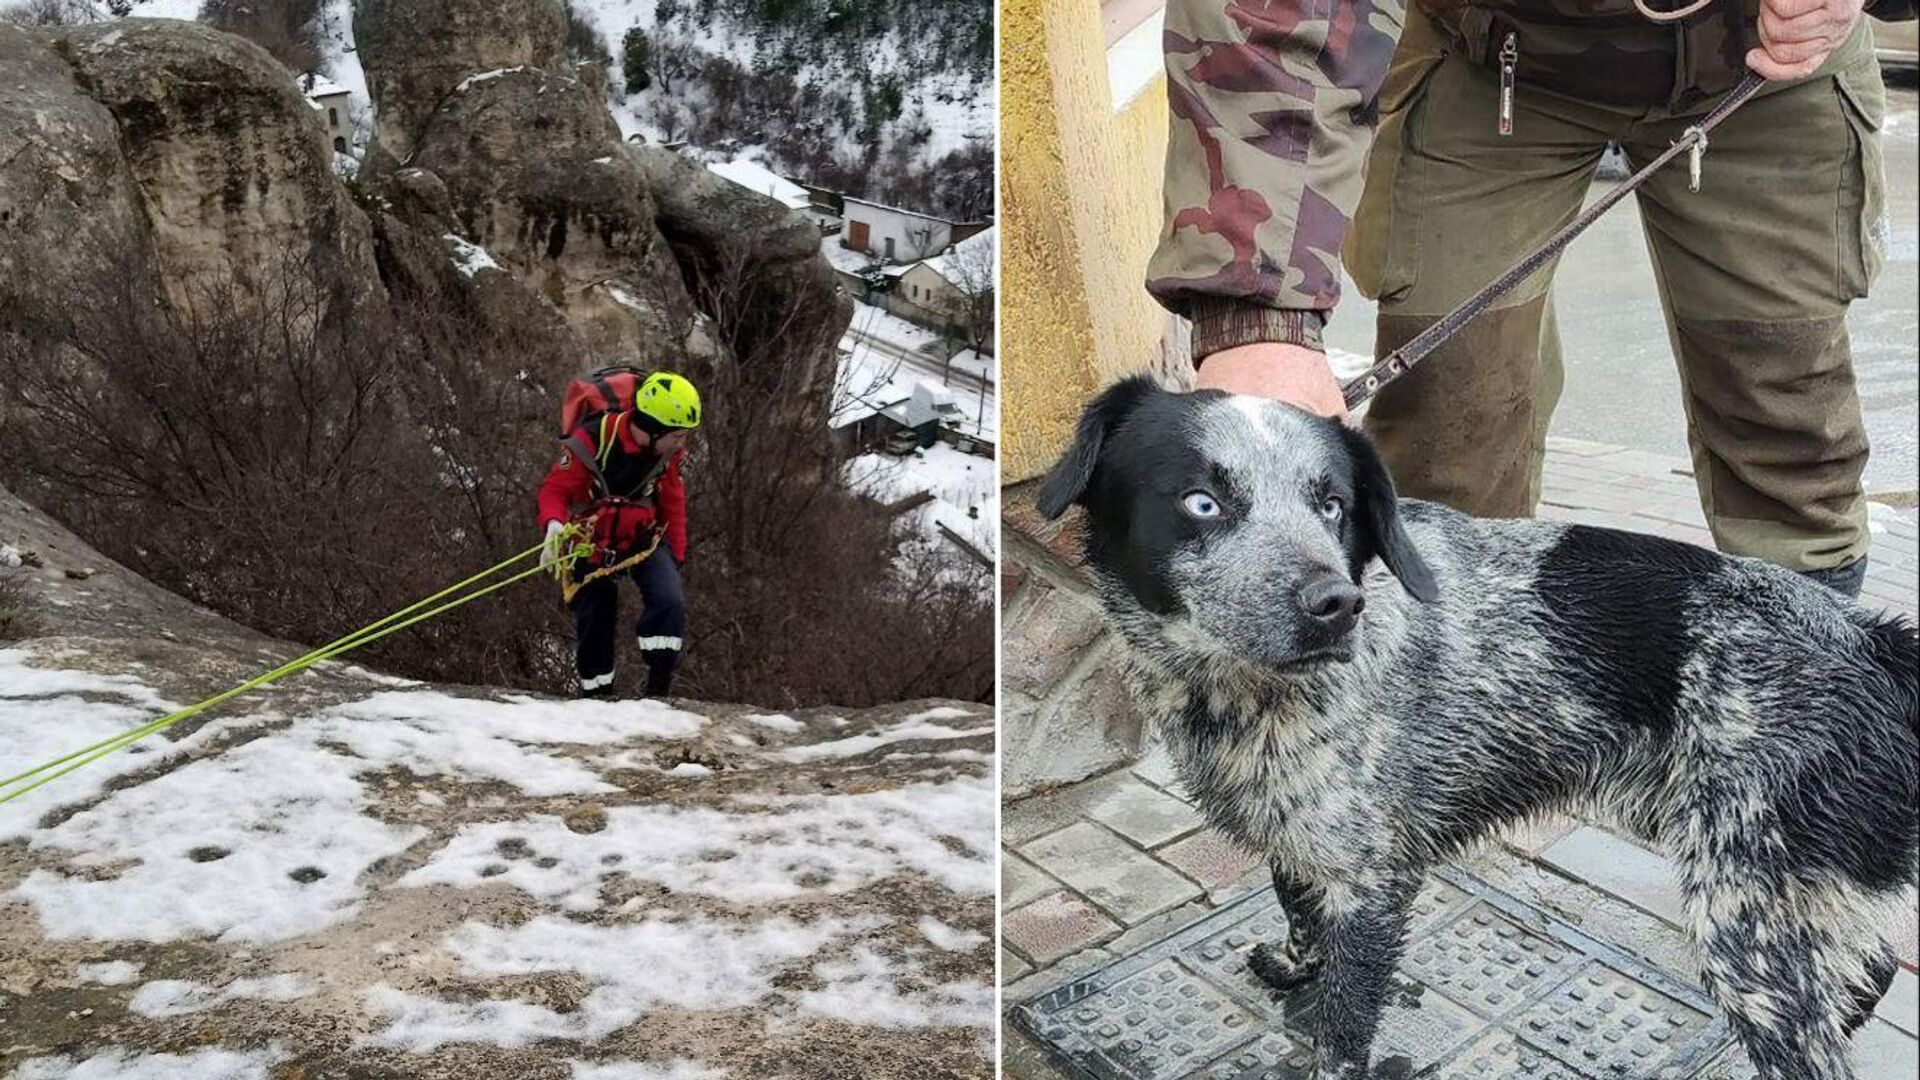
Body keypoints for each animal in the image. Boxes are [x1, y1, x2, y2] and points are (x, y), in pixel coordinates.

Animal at [1044, 376, 1912, 1076]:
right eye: (1202, 500)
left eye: (1333, 504)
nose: (1336, 606)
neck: (1231, 695)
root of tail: (1874, 640)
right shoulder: (1302, 831)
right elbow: (1294, 904)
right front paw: (1294, 965)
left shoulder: (1373, 883)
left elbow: (1342, 1031)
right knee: (1869, 970)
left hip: (1749, 927)